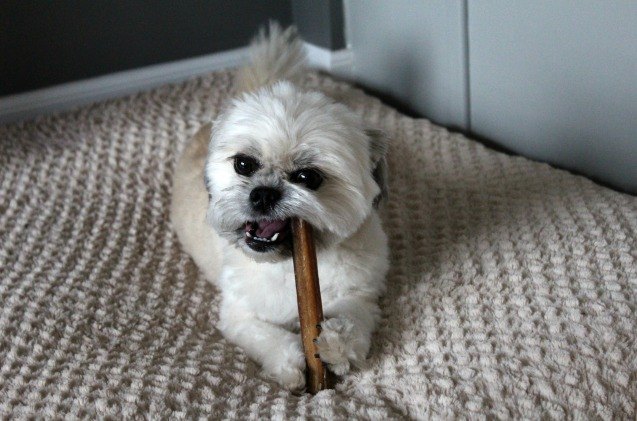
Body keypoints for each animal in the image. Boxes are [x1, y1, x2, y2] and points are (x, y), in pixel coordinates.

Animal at [169, 23, 388, 390]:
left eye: (308, 177)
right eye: (244, 164)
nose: (263, 193)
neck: (286, 267)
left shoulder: (361, 294)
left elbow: (351, 319)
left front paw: (336, 345)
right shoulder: (238, 315)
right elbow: (269, 338)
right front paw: (291, 365)